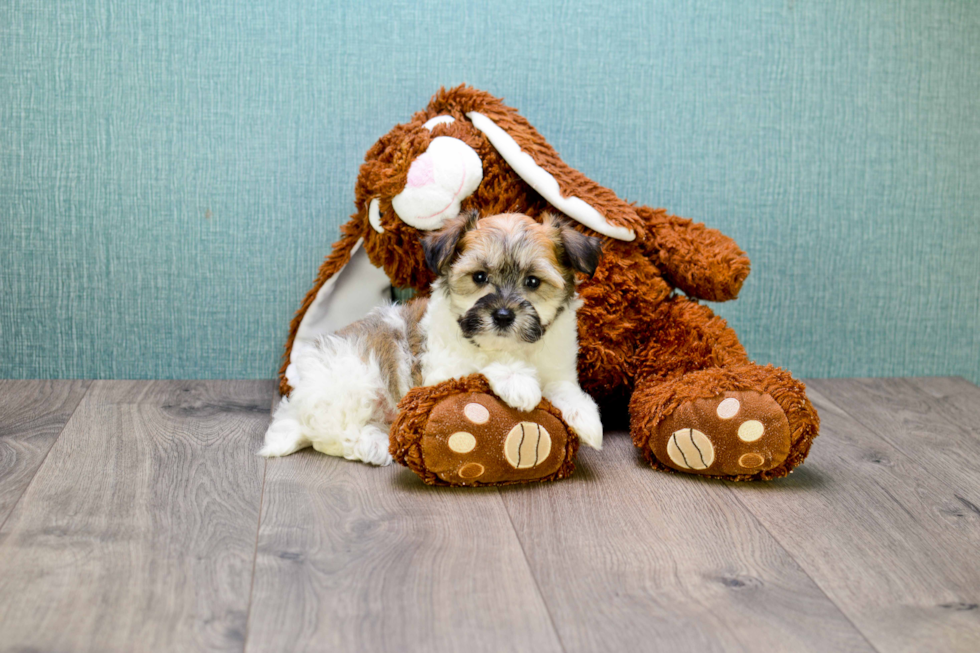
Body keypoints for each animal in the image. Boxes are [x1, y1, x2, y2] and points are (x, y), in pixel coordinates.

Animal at [258, 210, 604, 464]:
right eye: (480, 277)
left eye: (533, 282)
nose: (503, 315)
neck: (511, 347)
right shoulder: (442, 371)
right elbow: (480, 366)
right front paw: (518, 381)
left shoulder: (557, 366)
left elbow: (564, 389)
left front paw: (586, 417)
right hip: (355, 381)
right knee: (336, 435)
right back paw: (375, 444)